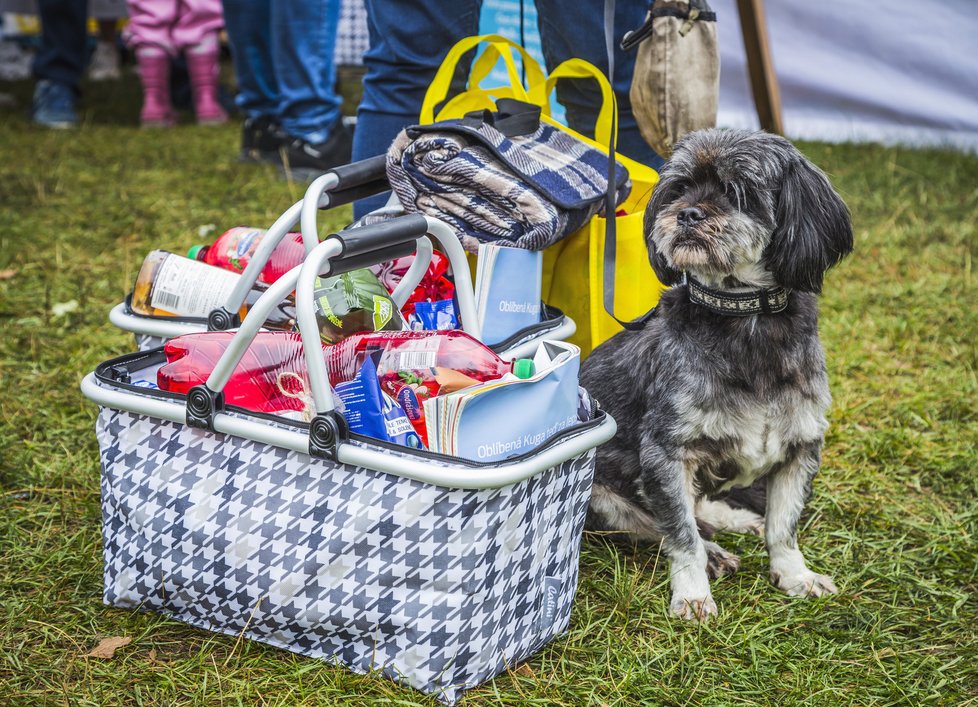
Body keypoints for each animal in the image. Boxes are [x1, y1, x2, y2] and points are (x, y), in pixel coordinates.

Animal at [584, 127, 852, 620]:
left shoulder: (800, 446)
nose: (687, 213)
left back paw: (736, 519)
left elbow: (784, 527)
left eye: (737, 192)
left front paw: (795, 575)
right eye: (678, 188)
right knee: (658, 525)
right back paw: (714, 553)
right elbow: (681, 534)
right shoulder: (666, 454)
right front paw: (692, 594)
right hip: (602, 497)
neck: (746, 318)